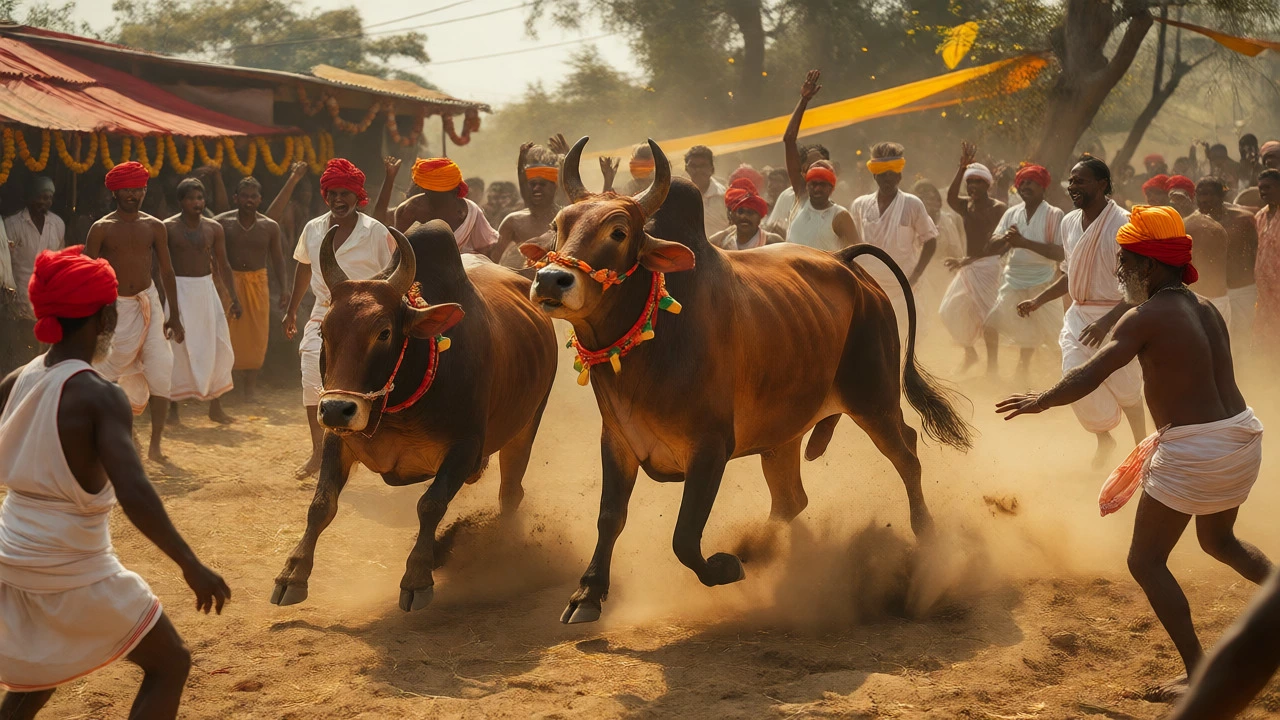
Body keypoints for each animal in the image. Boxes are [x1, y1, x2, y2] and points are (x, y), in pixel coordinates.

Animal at [270, 220, 557, 612]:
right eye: (324, 331)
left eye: (384, 332)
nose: (335, 409)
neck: (399, 404)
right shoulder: (337, 439)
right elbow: (321, 504)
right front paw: (292, 574)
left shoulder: (465, 447)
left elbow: (430, 505)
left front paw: (417, 577)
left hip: (526, 426)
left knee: (510, 493)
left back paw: (502, 551)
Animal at [522, 137, 974, 624]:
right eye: (557, 225)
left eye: (619, 232)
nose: (551, 279)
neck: (656, 336)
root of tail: (846, 263)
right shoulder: (618, 440)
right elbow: (610, 517)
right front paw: (587, 594)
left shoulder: (711, 446)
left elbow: (685, 537)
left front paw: (724, 566)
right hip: (784, 433)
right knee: (791, 500)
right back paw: (758, 548)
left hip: (873, 399)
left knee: (907, 454)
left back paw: (927, 542)